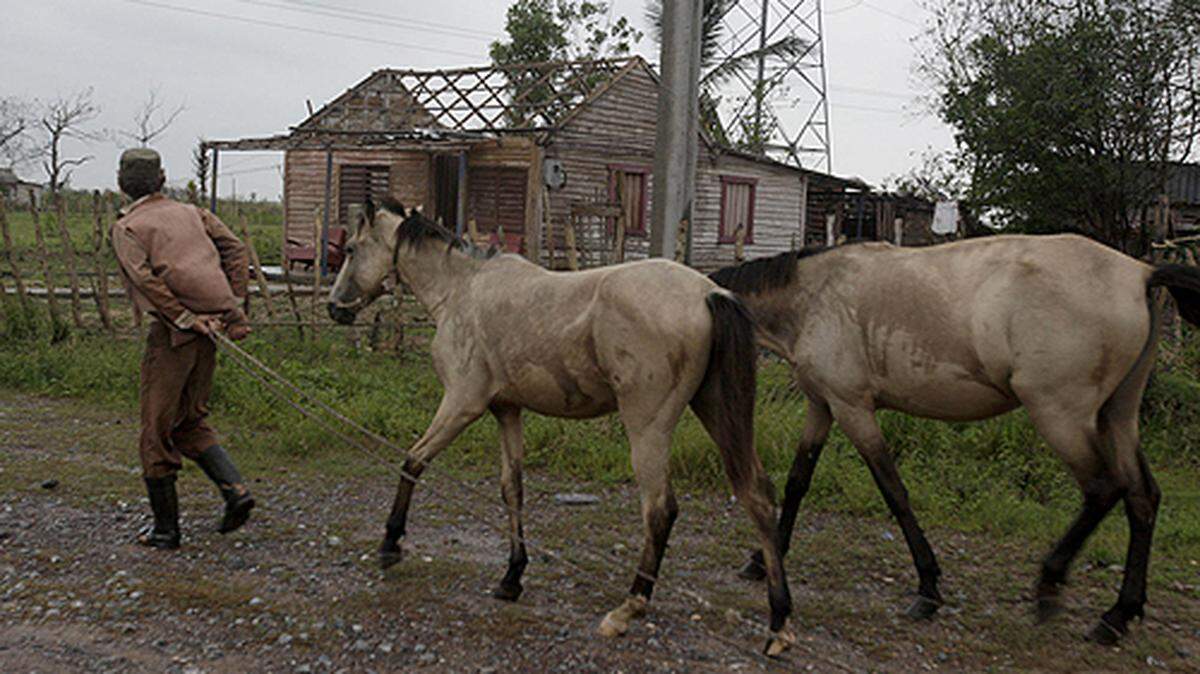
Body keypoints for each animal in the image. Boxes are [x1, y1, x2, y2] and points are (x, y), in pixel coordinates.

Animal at [327, 197, 795, 655]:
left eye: (350, 248)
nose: (334, 307)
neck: (462, 290)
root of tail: (708, 292)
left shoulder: (461, 404)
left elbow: (413, 461)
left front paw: (390, 544)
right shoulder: (507, 411)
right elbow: (512, 490)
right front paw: (511, 578)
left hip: (648, 427)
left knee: (660, 510)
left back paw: (629, 607)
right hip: (716, 410)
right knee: (757, 496)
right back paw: (779, 624)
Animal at [709, 234, 1200, 645]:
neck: (815, 297)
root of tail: (1139, 272)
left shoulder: (853, 408)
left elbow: (893, 491)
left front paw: (928, 588)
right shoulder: (822, 406)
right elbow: (798, 482)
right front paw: (760, 560)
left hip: (1061, 415)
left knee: (1103, 489)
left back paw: (1049, 585)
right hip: (1117, 415)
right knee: (1142, 497)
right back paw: (1117, 616)